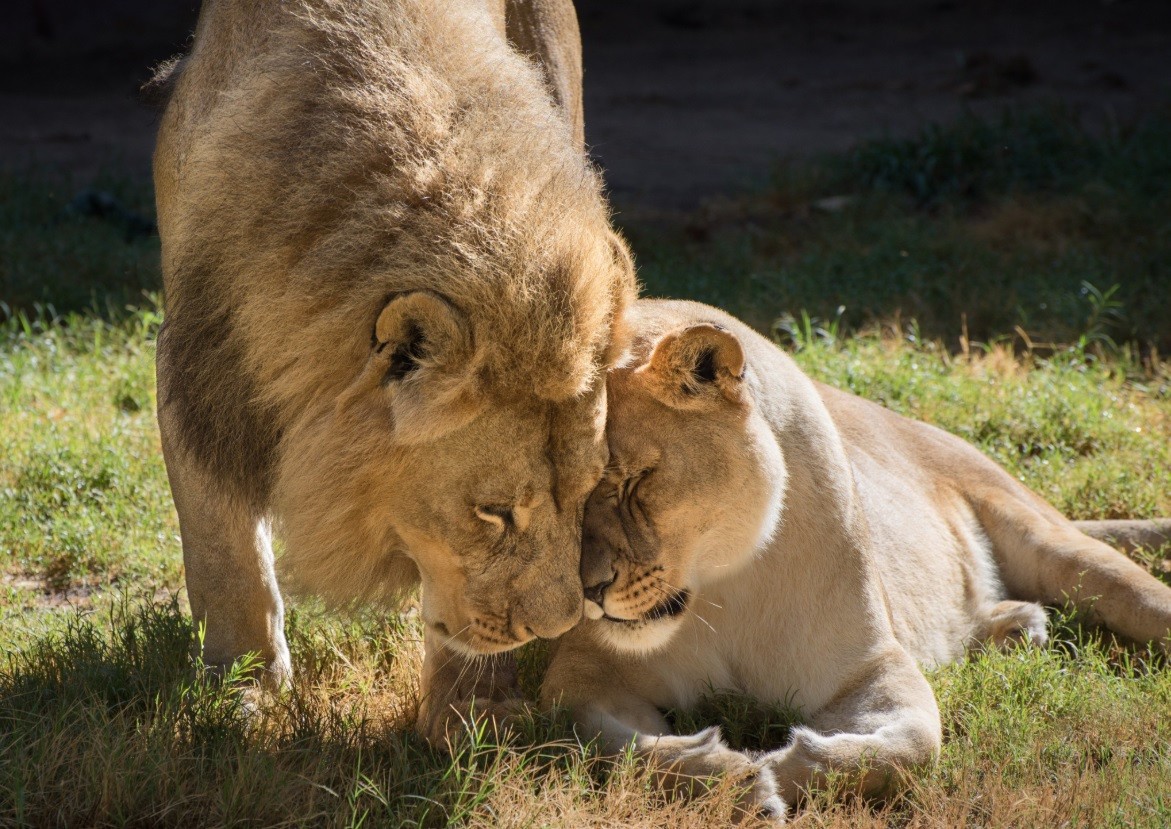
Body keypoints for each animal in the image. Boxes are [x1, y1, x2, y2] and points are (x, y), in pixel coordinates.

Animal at [155, 0, 637, 740]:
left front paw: (476, 707)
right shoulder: (198, 366)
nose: (558, 625)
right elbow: (225, 553)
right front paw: (247, 691)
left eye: (589, 491)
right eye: (494, 512)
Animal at [541, 302, 1171, 819]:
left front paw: (775, 769)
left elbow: (909, 747)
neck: (720, 586)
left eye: (634, 482)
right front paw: (732, 779)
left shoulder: (866, 664)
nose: (586, 589)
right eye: (557, 496)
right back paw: (1016, 627)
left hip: (1044, 532)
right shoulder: (580, 677)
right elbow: (620, 748)